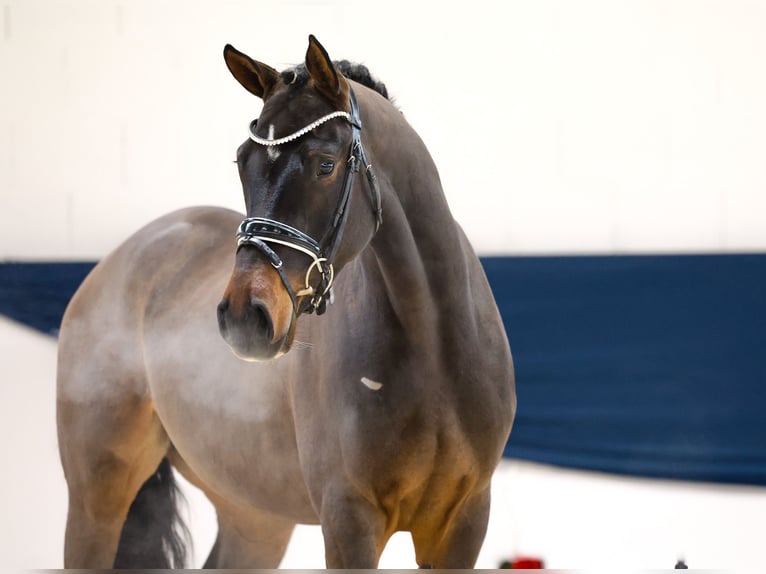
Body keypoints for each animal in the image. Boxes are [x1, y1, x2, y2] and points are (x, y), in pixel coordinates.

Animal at [57, 36, 516, 572]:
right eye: (243, 162)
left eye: (325, 165)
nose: (244, 317)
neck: (432, 348)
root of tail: (120, 260)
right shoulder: (348, 520)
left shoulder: (463, 523)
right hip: (98, 498)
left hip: (255, 516)